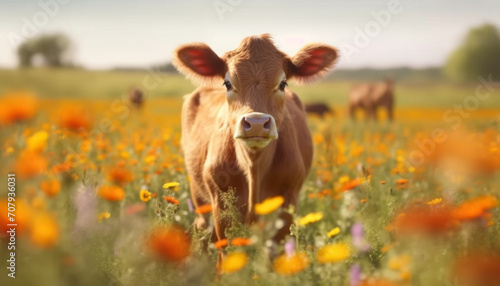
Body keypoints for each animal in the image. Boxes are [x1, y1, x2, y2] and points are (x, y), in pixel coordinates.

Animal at [172, 34, 336, 256]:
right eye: (227, 83)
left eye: (283, 83)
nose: (256, 123)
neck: (253, 168)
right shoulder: (221, 207)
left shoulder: (287, 204)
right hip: (200, 203)